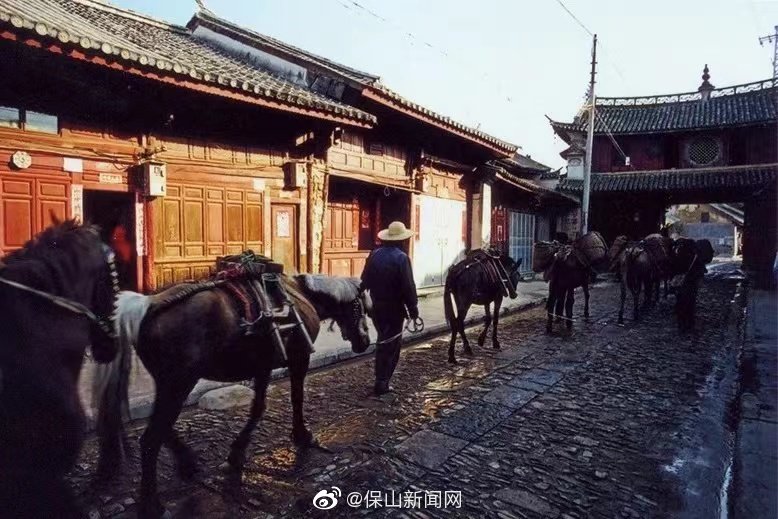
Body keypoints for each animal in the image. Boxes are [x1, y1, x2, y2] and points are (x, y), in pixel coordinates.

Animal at [94, 272, 372, 518]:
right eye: (360, 307)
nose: (365, 341)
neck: (302, 297)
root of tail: (148, 305)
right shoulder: (299, 358)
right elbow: (296, 398)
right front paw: (302, 435)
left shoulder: (262, 367)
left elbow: (258, 407)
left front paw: (237, 453)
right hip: (179, 383)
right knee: (151, 438)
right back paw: (152, 505)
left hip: (168, 383)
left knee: (163, 429)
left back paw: (187, 463)